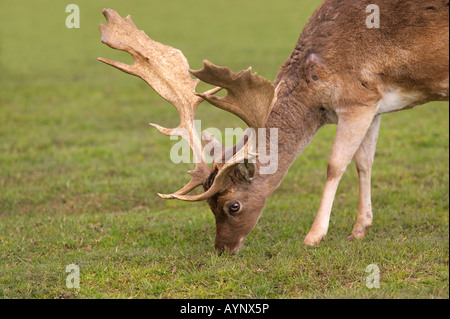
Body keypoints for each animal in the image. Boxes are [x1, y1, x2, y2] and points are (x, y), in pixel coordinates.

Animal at [99, 0, 450, 255]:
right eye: (209, 205)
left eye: (233, 205)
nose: (222, 249)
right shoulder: (374, 103)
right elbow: (364, 163)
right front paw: (360, 229)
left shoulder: (356, 98)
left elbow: (335, 164)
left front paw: (314, 236)